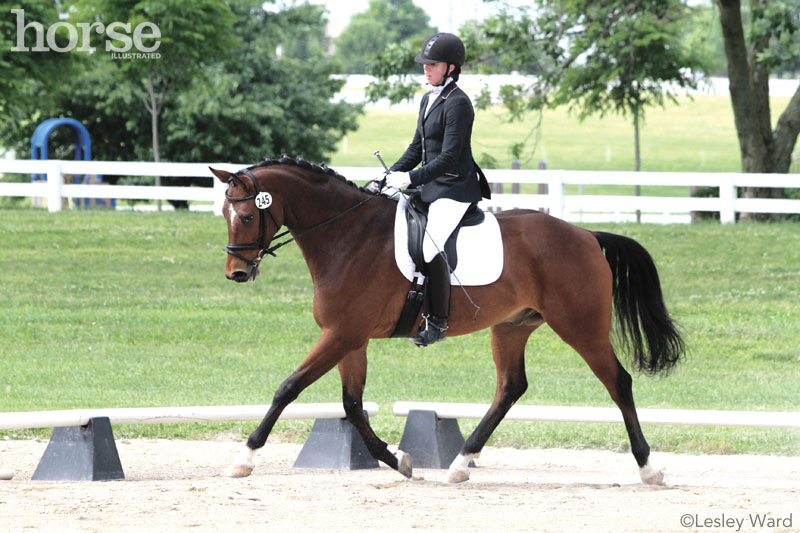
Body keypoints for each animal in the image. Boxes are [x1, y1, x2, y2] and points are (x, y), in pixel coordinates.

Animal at [211, 155, 685, 485]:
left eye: (248, 216)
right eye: (225, 215)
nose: (236, 273)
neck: (348, 235)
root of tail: (586, 235)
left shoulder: (342, 334)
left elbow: (288, 388)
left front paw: (244, 458)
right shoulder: (351, 338)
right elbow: (352, 405)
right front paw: (398, 460)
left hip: (580, 327)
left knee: (618, 382)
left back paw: (649, 469)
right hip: (511, 326)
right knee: (510, 388)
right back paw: (460, 464)